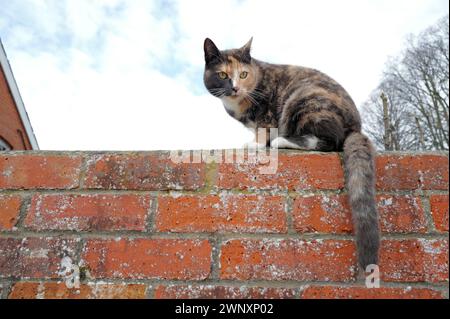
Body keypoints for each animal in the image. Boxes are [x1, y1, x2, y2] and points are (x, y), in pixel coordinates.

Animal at [204, 37, 380, 272]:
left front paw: (256, 144)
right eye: (223, 75)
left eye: (243, 74)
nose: (234, 87)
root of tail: (356, 127)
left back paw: (283, 141)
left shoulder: (267, 110)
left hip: (302, 97)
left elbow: (264, 128)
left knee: (329, 141)